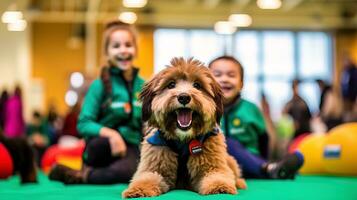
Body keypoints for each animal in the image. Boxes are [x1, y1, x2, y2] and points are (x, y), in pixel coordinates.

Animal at [121, 57, 245, 198]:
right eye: (171, 85)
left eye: (197, 85)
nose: (184, 97)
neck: (183, 140)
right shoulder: (154, 163)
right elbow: (147, 177)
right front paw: (139, 189)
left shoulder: (213, 164)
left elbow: (218, 175)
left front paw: (219, 187)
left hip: (229, 160)